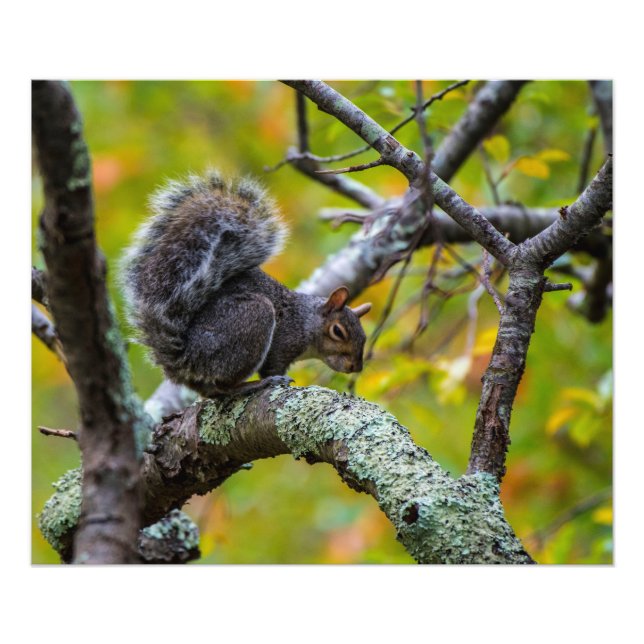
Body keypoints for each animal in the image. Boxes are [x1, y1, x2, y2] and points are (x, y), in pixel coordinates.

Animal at [120, 170, 372, 397]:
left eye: (364, 337)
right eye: (338, 331)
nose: (356, 367)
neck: (306, 321)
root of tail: (184, 359)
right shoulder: (283, 344)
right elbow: (273, 367)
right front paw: (277, 380)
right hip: (252, 319)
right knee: (223, 387)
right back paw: (252, 385)